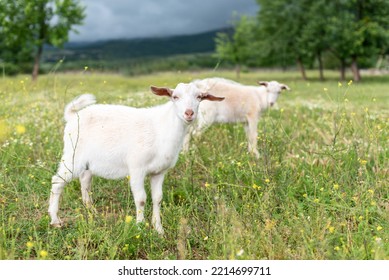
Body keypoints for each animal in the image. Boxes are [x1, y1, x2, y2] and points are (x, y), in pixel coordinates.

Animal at [48, 83, 223, 234]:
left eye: (200, 97)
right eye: (175, 97)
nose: (189, 113)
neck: (162, 129)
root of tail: (73, 116)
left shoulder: (159, 172)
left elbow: (157, 198)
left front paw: (158, 229)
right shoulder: (137, 168)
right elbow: (141, 199)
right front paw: (140, 227)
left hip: (87, 161)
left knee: (85, 180)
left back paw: (90, 210)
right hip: (73, 155)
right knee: (57, 182)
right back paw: (55, 220)